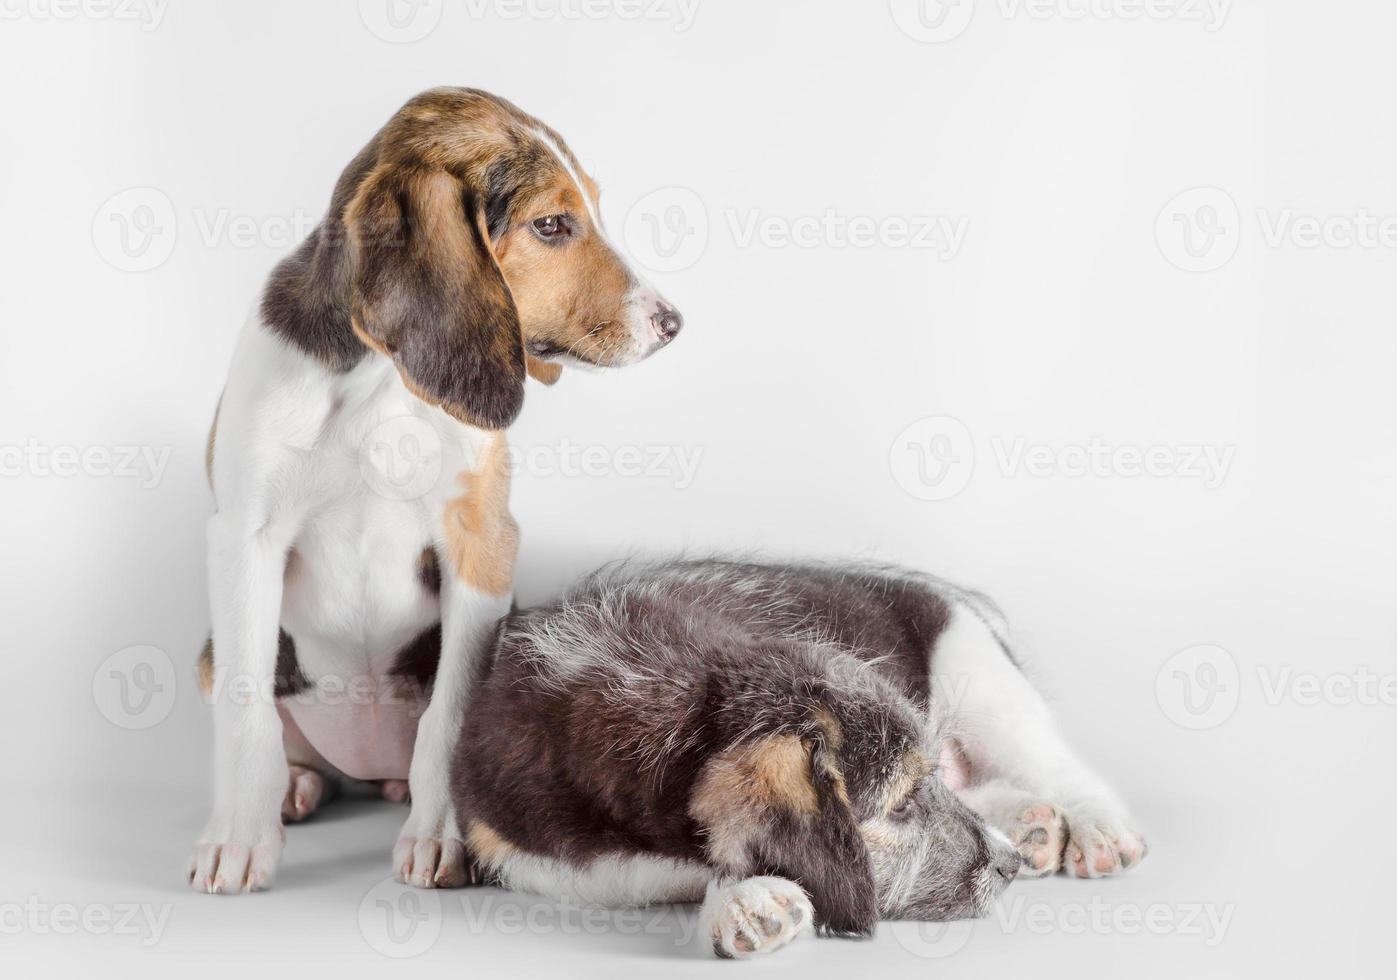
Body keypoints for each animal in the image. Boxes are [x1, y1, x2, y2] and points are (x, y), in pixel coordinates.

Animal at [191, 92, 681, 899]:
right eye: (553, 224)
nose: (672, 322)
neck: (380, 382)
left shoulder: (480, 544)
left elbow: (447, 719)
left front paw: (442, 834)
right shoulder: (243, 540)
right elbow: (244, 709)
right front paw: (237, 838)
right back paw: (296, 786)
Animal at [452, 561, 1151, 960]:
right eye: (901, 805)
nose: (1005, 866)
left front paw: (742, 898)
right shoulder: (528, 854)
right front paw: (744, 898)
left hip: (982, 681)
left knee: (1060, 767)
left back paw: (1092, 831)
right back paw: (1030, 826)